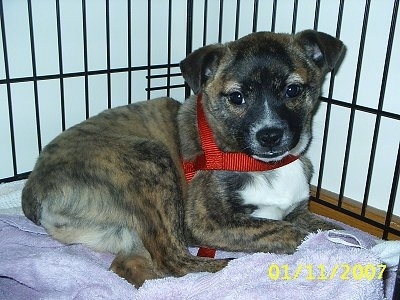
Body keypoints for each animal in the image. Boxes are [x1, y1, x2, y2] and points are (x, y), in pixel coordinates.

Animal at [21, 29, 346, 286]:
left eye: (293, 90)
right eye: (236, 97)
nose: (270, 136)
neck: (259, 164)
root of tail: (33, 190)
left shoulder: (298, 211)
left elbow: (332, 229)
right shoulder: (205, 223)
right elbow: (290, 232)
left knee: (131, 265)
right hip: (149, 163)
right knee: (174, 262)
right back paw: (231, 268)